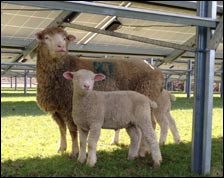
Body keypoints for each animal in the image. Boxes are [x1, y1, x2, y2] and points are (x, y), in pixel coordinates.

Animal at [36, 26, 164, 159]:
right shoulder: (56, 109)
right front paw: (61, 148)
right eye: (46, 37)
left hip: (146, 96)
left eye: (65, 38)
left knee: (151, 125)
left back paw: (143, 151)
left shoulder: (69, 107)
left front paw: (74, 152)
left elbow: (72, 131)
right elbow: (62, 129)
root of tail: (156, 70)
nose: (61, 46)